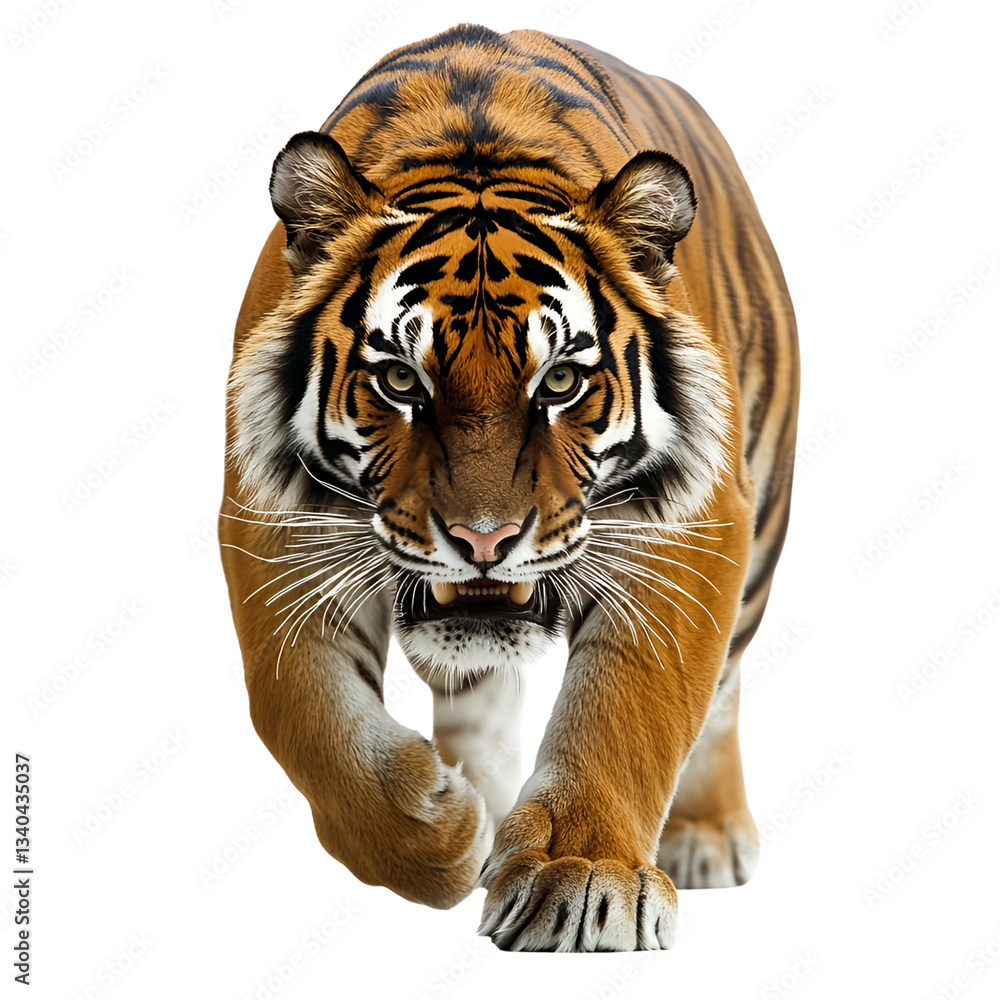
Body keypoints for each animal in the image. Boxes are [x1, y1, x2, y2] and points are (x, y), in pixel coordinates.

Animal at [219, 24, 799, 953]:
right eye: (401, 379)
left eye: (559, 381)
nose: (484, 539)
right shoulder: (271, 527)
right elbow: (304, 718)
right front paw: (439, 837)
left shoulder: (690, 523)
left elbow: (631, 709)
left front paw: (584, 877)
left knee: (722, 689)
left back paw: (704, 835)